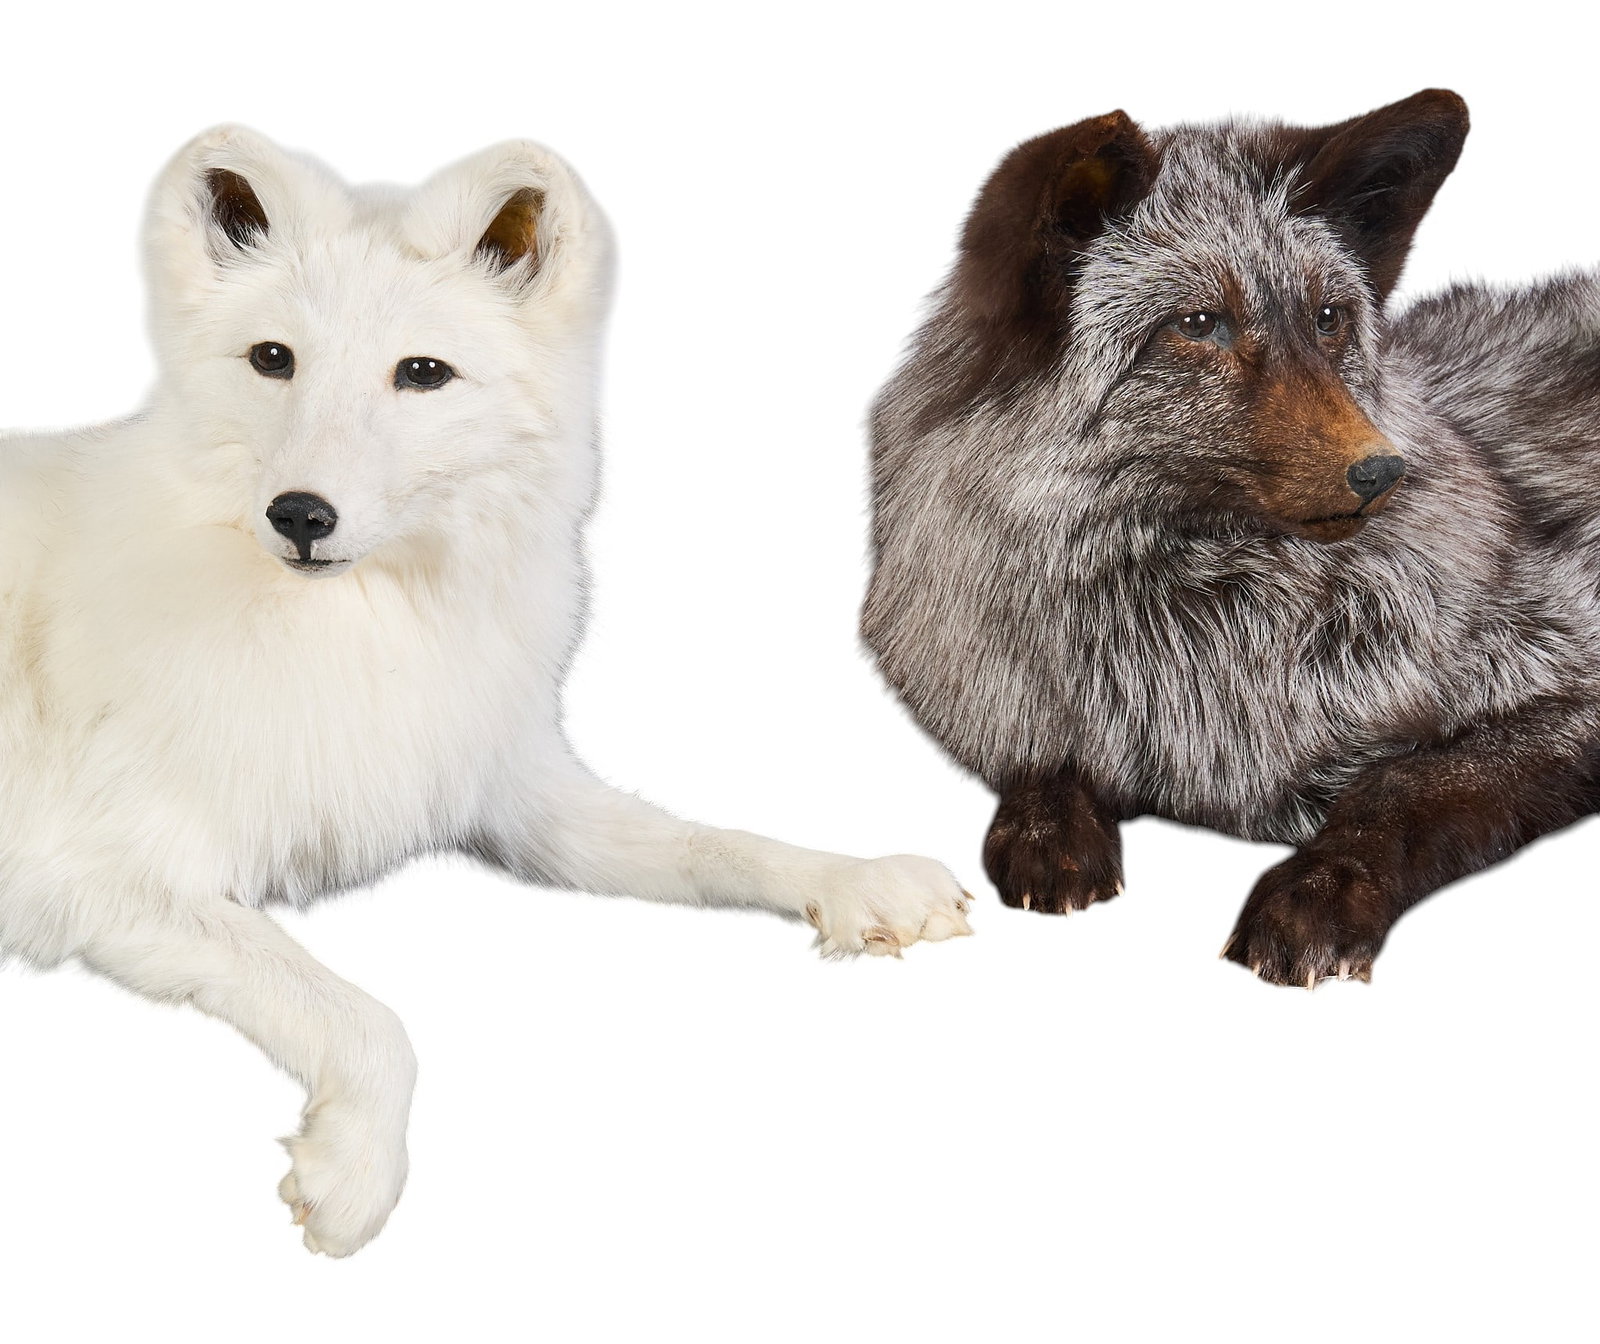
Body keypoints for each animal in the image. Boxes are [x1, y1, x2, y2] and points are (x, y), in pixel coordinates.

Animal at [0, 127, 972, 1257]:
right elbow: (367, 1017)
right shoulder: (104, 874)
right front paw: (355, 1168)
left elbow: (711, 845)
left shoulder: (511, 782)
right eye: (273, 360)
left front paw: (856, 878)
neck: (371, 620)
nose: (300, 515)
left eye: (422, 374)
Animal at [862, 89, 1600, 987]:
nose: (1384, 471)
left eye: (1328, 319)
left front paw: (1318, 891)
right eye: (1199, 322)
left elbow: (1408, 787)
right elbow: (1044, 745)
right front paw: (1048, 827)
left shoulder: (1571, 666)